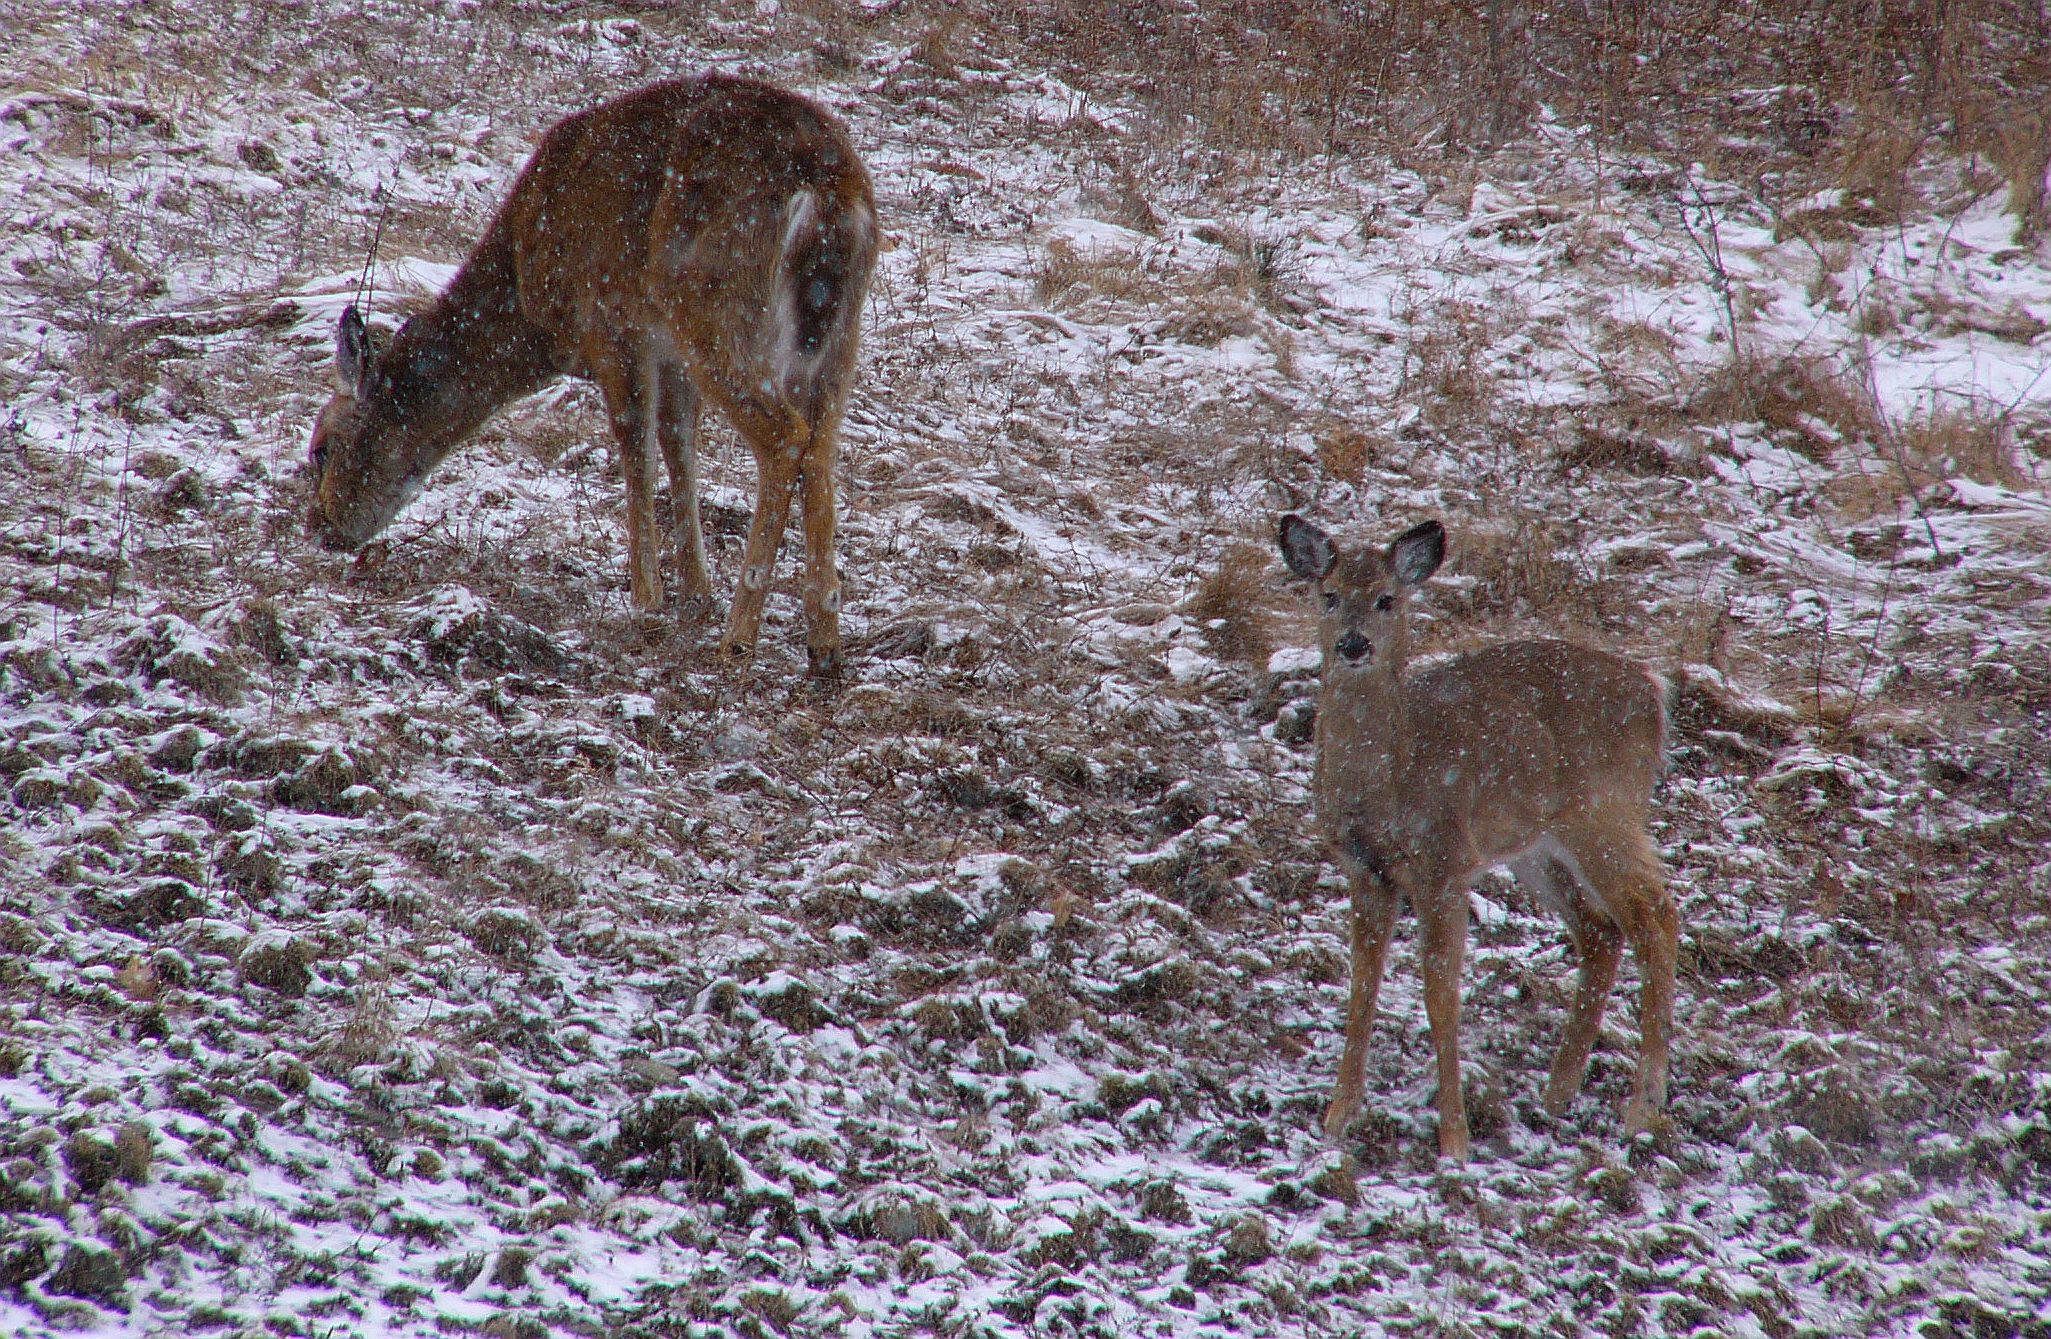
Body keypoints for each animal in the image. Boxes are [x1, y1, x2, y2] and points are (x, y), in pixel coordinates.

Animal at [308, 75, 878, 677]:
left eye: (321, 448)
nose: (323, 527)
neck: (530, 302)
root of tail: (828, 189)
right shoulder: (668, 349)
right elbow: (678, 442)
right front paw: (695, 592)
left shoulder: (612, 322)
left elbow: (635, 446)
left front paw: (647, 597)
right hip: (837, 338)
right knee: (821, 445)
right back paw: (825, 644)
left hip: (715, 306)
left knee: (784, 437)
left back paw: (739, 640)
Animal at [1277, 514, 1678, 1161]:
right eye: (1329, 595)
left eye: (1387, 599)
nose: (1353, 644)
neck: (1389, 776)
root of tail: (1654, 690)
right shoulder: (1366, 870)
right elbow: (1361, 988)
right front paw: (1337, 1117)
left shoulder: (1443, 861)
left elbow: (1441, 996)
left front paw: (1454, 1139)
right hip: (1536, 845)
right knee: (1600, 929)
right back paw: (1557, 1092)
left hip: (1605, 814)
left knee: (1655, 916)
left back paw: (1642, 1106)